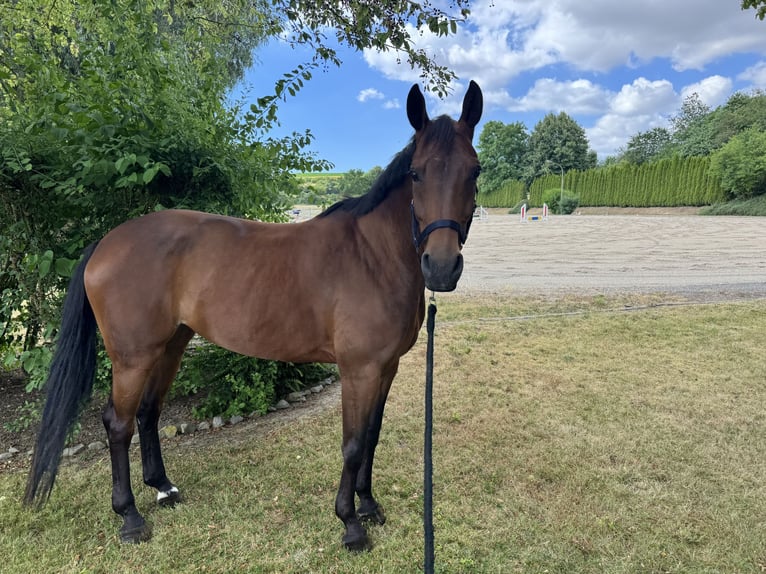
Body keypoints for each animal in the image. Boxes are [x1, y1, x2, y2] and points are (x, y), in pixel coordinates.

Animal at [24, 80, 483, 551]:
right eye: (416, 173)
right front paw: (351, 524)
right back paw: (130, 517)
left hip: (170, 344)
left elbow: (372, 437)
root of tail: (106, 243)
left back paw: (164, 489)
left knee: (149, 411)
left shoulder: (386, 368)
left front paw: (370, 507)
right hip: (132, 357)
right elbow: (353, 444)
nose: (441, 267)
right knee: (117, 424)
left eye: (475, 171)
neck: (372, 255)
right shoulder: (360, 370)